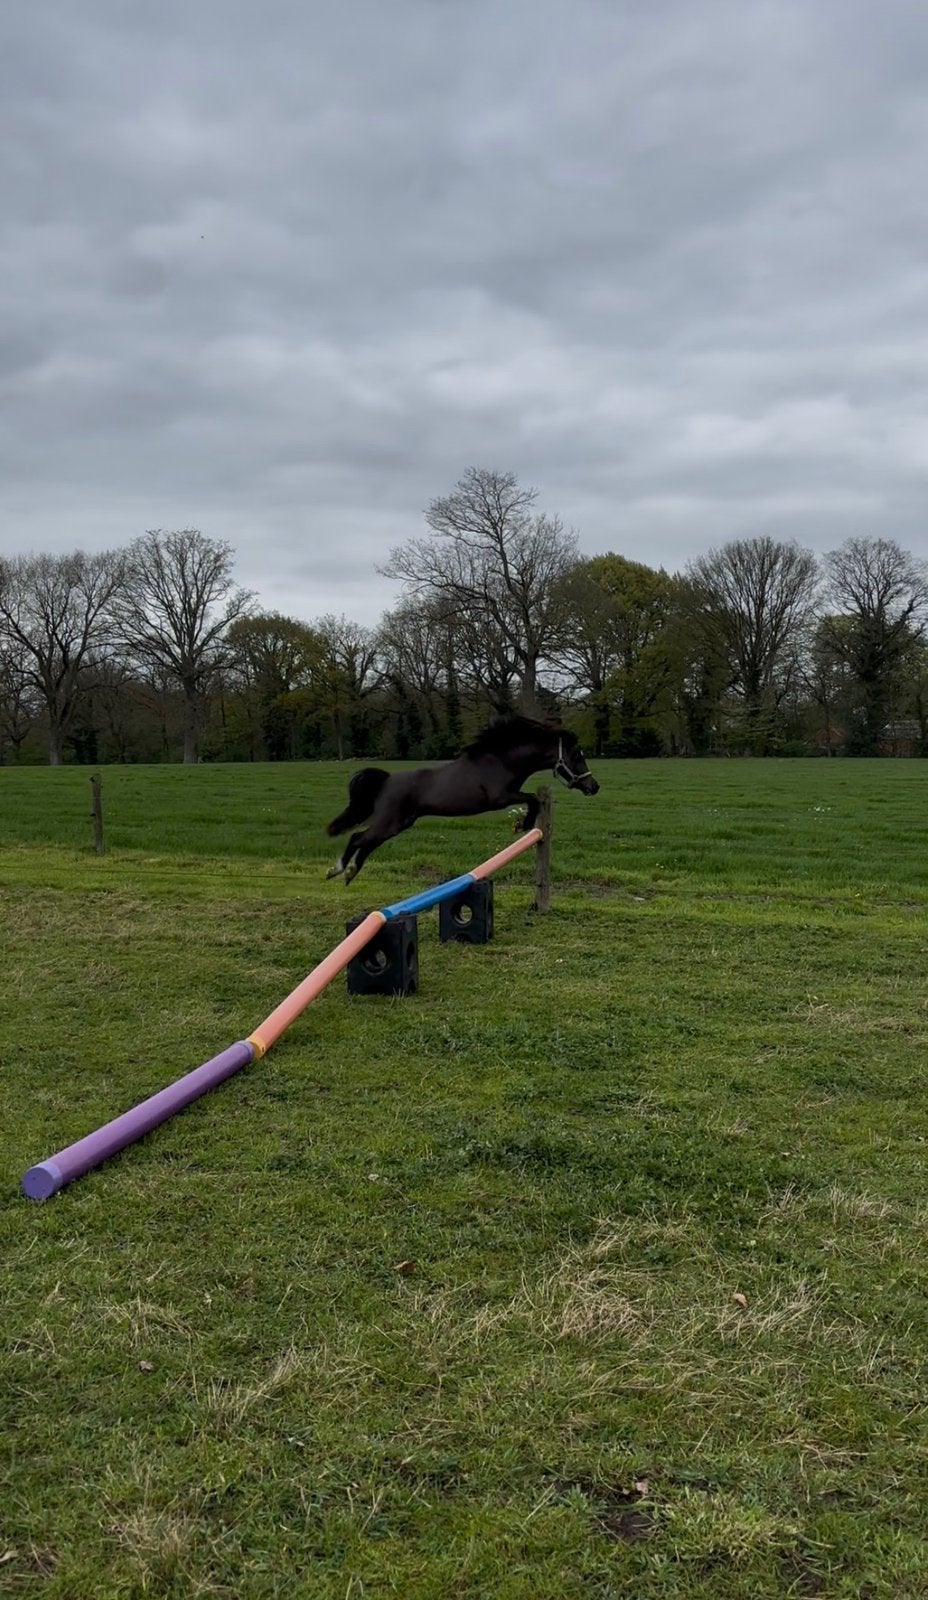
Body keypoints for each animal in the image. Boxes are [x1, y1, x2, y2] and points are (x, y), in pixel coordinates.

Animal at [325, 713, 599, 883]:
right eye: (577, 755)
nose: (594, 787)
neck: (502, 760)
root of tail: (387, 780)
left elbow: (532, 799)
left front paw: (522, 824)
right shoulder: (500, 798)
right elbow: (532, 799)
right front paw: (524, 825)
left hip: (400, 824)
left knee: (366, 842)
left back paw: (349, 873)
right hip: (390, 822)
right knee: (358, 837)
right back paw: (339, 870)